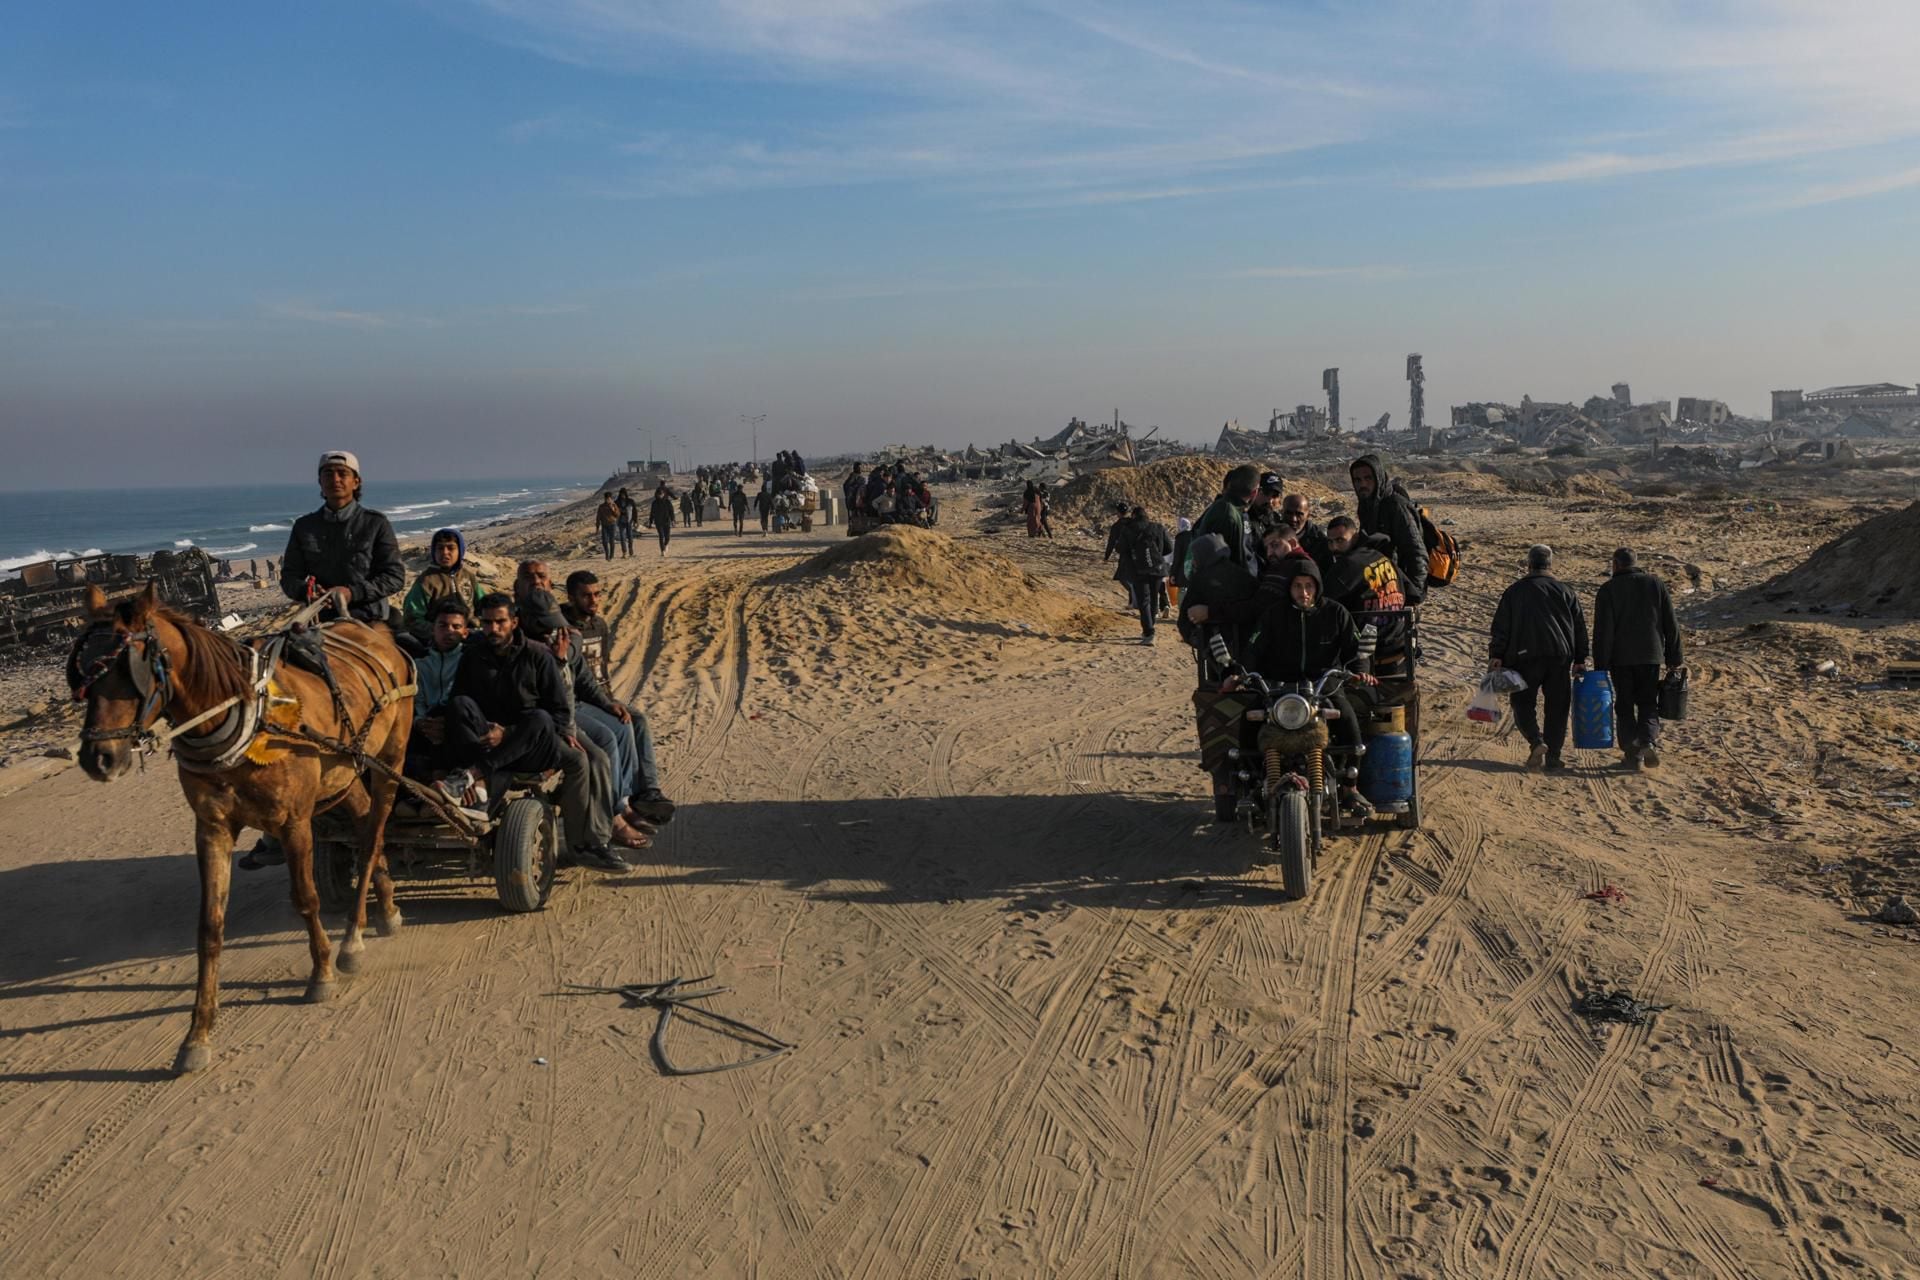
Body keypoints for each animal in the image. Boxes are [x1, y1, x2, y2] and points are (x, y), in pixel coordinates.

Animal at [72, 587, 416, 1074]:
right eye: (82, 671)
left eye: (129, 670)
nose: (98, 759)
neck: (242, 717)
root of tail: (375, 633)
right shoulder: (212, 829)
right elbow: (210, 926)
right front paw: (197, 1034)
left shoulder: (294, 823)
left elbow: (306, 899)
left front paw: (321, 973)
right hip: (345, 772)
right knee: (368, 821)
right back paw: (384, 910)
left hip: (390, 759)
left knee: (371, 836)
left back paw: (351, 939)